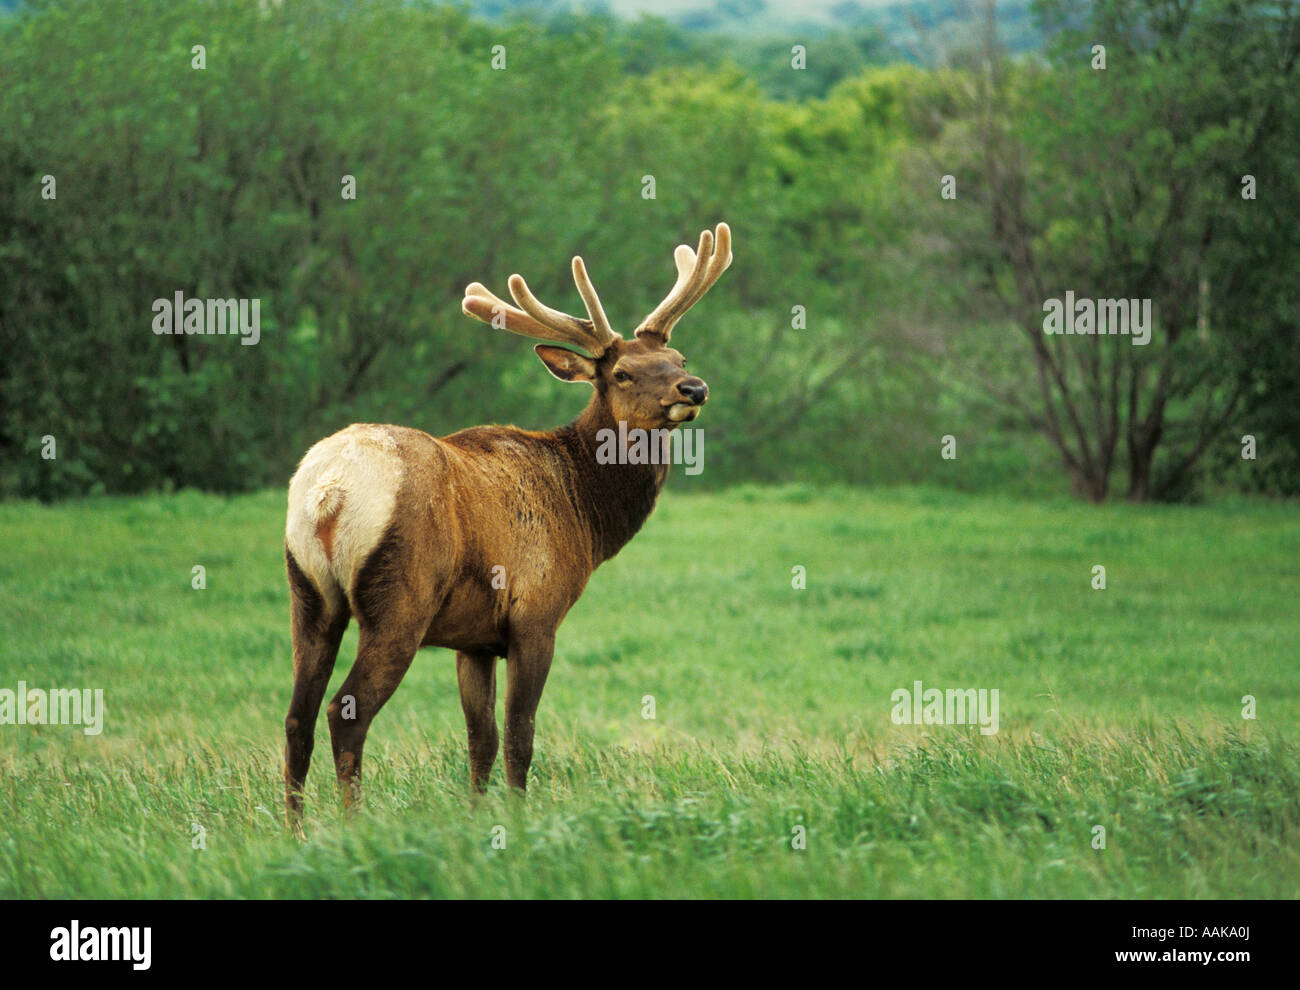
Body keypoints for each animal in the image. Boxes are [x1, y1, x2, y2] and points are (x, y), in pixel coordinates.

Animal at [283, 223, 733, 826]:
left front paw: (479, 818)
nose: (693, 388)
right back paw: (353, 827)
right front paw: (521, 823)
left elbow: (482, 740)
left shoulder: (472, 640)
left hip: (310, 593)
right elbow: (521, 736)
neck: (585, 514)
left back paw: (294, 831)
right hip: (399, 600)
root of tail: (328, 492)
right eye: (622, 373)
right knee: (345, 712)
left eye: (679, 356)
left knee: (297, 718)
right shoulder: (536, 613)